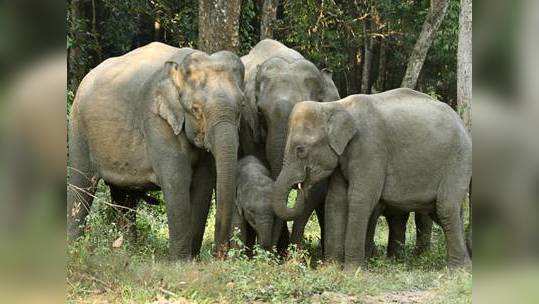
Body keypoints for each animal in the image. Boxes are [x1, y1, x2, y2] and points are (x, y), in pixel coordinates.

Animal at [67, 41, 247, 260]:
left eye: (242, 106)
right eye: (195, 109)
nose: (219, 255)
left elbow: (203, 182)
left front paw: (192, 260)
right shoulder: (156, 121)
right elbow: (176, 180)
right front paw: (181, 262)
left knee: (124, 196)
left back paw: (129, 250)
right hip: (79, 128)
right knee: (81, 185)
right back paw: (74, 247)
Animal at [272, 88, 470, 270]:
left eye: (301, 150)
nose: (302, 184)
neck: (335, 106)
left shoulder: (369, 148)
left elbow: (360, 199)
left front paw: (353, 271)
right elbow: (336, 201)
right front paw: (331, 268)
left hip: (458, 161)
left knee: (446, 207)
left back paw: (458, 271)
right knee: (445, 211)